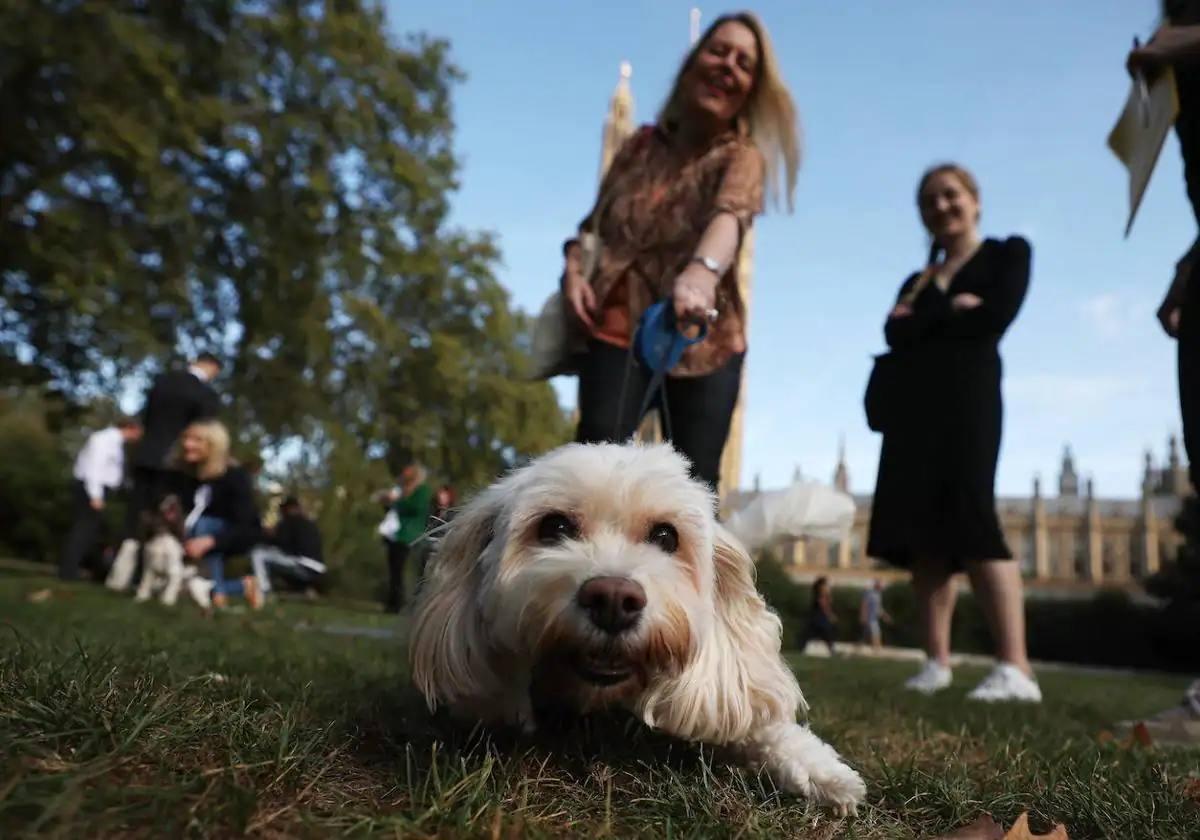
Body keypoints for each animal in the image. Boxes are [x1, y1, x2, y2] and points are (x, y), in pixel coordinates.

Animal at [408, 444, 868, 811]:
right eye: (554, 527)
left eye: (666, 536)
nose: (613, 599)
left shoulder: (726, 682)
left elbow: (758, 722)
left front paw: (821, 772)